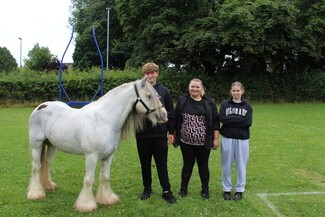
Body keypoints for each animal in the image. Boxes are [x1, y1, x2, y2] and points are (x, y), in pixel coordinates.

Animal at [26, 77, 167, 212]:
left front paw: (107, 199)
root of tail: (41, 106)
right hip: (37, 145)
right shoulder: (91, 156)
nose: (164, 115)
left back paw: (49, 186)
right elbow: (89, 180)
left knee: (47, 164)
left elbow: (105, 177)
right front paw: (86, 205)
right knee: (36, 167)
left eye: (157, 95)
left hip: (51, 145)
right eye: (149, 95)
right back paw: (36, 193)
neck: (103, 120)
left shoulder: (108, 156)